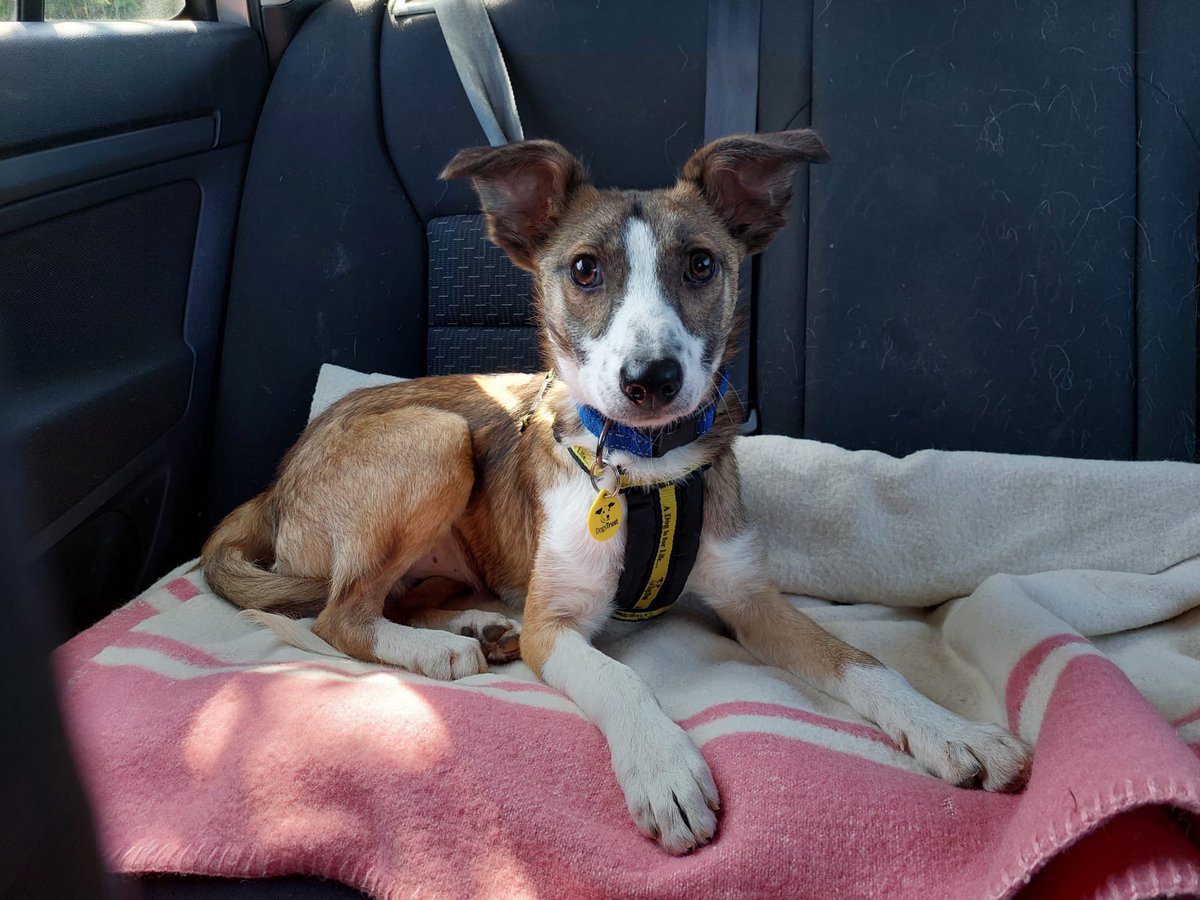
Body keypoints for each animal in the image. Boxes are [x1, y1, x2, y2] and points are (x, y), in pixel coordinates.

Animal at [204, 130, 1032, 854]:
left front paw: (951, 731)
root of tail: (277, 481)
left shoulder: (752, 600)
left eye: (700, 264)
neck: (646, 472)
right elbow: (616, 675)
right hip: (436, 440)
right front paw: (663, 768)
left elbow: (862, 662)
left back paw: (476, 625)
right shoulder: (554, 625)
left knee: (391, 600)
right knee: (340, 615)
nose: (650, 381)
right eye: (582, 269)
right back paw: (440, 649)